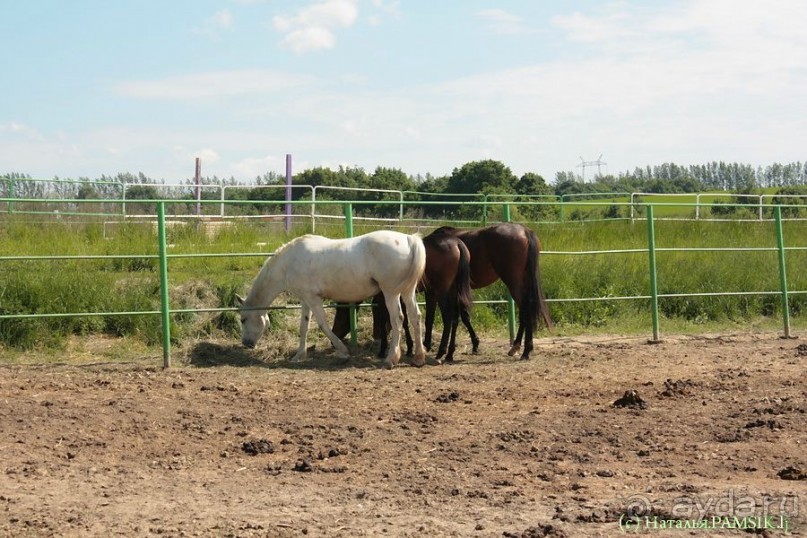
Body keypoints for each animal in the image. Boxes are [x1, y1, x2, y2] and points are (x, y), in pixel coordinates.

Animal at [238, 228, 426, 366]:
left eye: (243, 319)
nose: (246, 344)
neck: (288, 263)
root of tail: (409, 239)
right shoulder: (305, 299)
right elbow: (304, 327)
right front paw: (299, 356)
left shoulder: (314, 299)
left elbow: (323, 325)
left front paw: (343, 352)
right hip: (407, 292)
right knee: (415, 317)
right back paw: (419, 357)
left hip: (390, 293)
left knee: (397, 319)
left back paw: (391, 358)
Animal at [332, 228, 474, 362]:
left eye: (339, 315)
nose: (334, 337)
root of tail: (457, 243)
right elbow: (405, 320)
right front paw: (410, 348)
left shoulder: (385, 297)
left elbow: (389, 319)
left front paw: (385, 350)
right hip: (453, 291)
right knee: (455, 319)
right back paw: (450, 353)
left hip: (442, 292)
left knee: (448, 318)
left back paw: (441, 352)